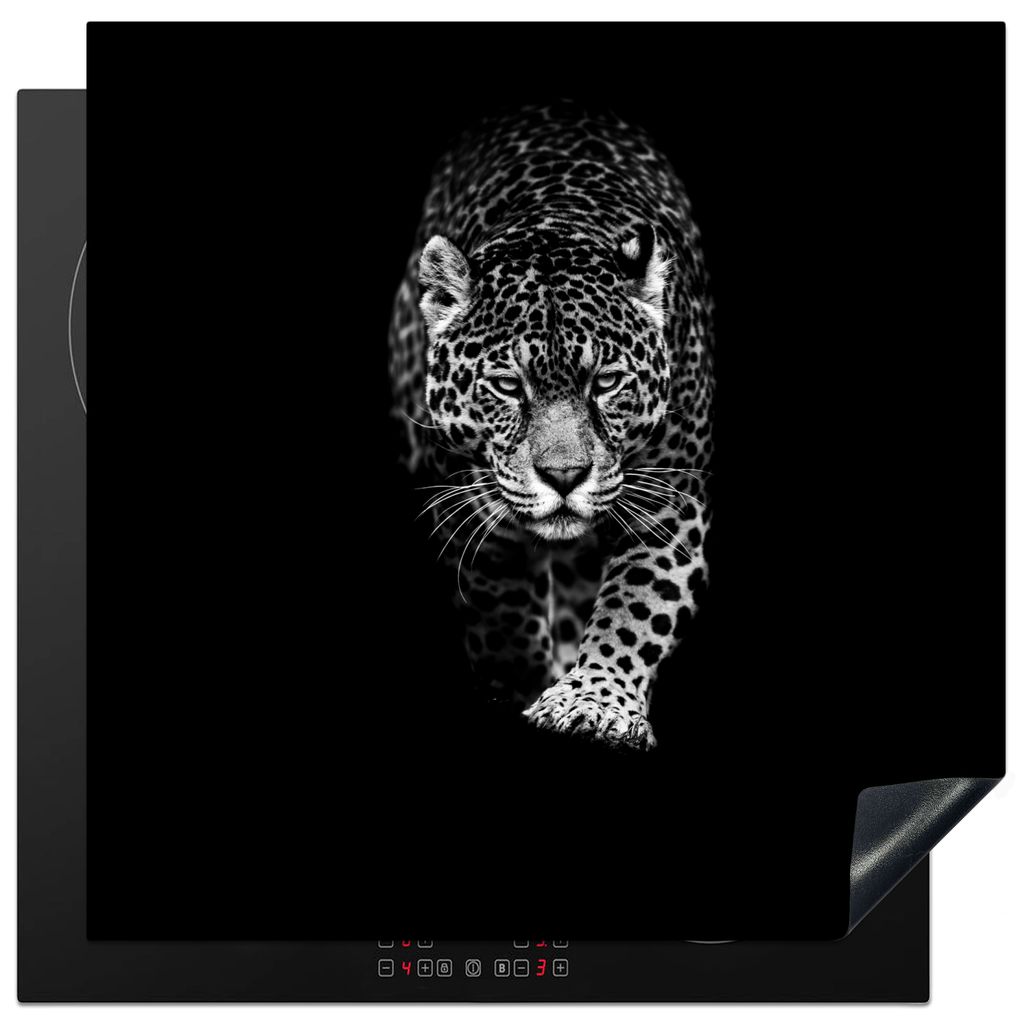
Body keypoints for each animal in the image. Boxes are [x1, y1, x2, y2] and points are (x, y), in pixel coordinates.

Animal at [388, 100, 713, 752]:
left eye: (606, 382)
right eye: (508, 386)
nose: (564, 477)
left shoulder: (669, 506)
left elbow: (637, 604)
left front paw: (596, 702)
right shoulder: (470, 512)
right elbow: (502, 612)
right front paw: (519, 687)